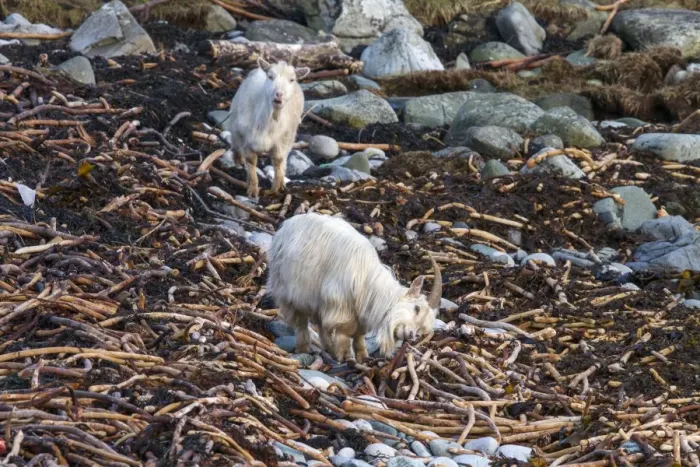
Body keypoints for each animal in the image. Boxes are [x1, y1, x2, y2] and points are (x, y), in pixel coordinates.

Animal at [223, 58, 310, 198]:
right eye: (270, 76)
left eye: (292, 79)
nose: (279, 94)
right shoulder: (245, 139)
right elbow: (251, 161)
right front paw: (253, 189)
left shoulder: (282, 142)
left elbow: (278, 161)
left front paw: (275, 188)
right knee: (235, 145)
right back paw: (237, 160)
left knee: (284, 161)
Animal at [266, 213, 442, 362]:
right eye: (416, 308)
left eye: (421, 329)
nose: (411, 335)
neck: (367, 278)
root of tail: (288, 223)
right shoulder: (340, 303)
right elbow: (345, 330)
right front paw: (345, 356)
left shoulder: (359, 310)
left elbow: (359, 335)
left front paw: (362, 356)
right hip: (288, 292)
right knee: (301, 322)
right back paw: (304, 349)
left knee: (321, 324)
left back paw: (329, 349)